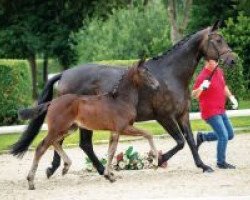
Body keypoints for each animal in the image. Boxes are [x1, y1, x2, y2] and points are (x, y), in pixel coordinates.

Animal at [21, 59, 158, 189]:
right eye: (145, 71)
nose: (157, 85)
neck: (121, 100)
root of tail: (52, 103)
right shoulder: (124, 128)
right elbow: (148, 134)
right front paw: (156, 162)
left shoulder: (115, 131)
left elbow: (111, 152)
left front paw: (109, 176)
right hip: (58, 129)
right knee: (41, 147)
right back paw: (31, 181)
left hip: (69, 128)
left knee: (55, 143)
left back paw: (65, 166)